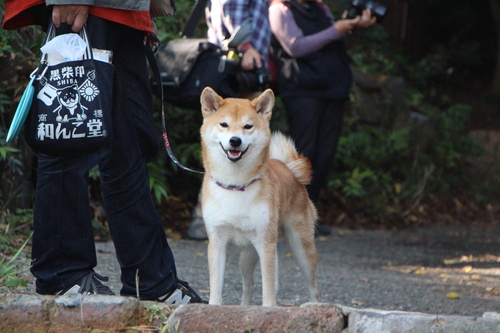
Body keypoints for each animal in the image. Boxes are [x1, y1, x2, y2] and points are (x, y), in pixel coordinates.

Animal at [201, 86, 318, 306]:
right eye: (224, 124)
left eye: (248, 126)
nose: (235, 140)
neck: (235, 185)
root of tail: (288, 169)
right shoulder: (217, 242)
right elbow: (216, 287)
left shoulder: (266, 245)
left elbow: (269, 290)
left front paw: (269, 309)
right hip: (247, 256)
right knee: (249, 285)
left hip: (301, 247)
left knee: (313, 285)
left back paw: (315, 305)